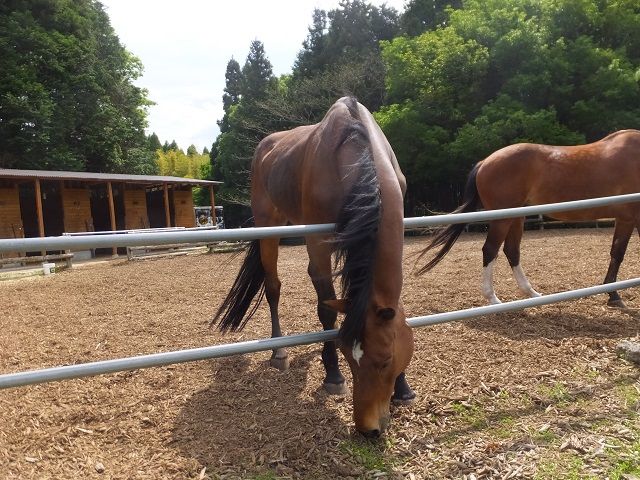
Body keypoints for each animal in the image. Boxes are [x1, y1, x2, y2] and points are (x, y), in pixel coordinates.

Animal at [212, 96, 418, 436]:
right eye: (349, 357)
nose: (368, 429)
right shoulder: (319, 242)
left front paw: (403, 388)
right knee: (273, 287)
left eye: (386, 360)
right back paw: (280, 351)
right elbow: (326, 310)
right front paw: (333, 376)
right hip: (270, 226)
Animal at [418, 129, 640, 306]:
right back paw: (493, 299)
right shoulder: (631, 219)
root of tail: (485, 162)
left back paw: (531, 293)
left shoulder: (626, 219)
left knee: (511, 251)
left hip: (516, 217)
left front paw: (612, 294)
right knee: (490, 250)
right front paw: (614, 295)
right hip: (502, 220)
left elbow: (617, 253)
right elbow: (618, 254)